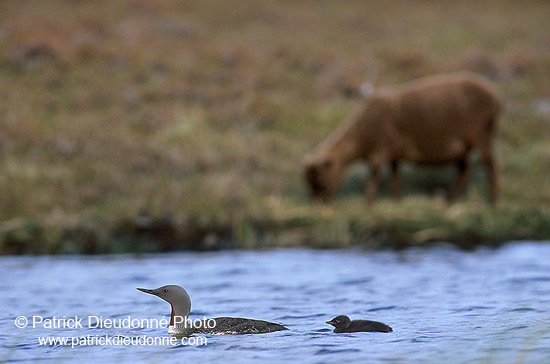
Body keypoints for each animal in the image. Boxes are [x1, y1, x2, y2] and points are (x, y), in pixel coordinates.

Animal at [306, 71, 504, 205]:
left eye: (320, 182)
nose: (319, 205)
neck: (362, 134)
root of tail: (496, 98)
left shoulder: (381, 151)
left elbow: (372, 181)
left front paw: (368, 205)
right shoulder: (394, 154)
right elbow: (395, 179)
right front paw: (397, 202)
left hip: (480, 135)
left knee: (491, 166)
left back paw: (493, 202)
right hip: (461, 147)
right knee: (465, 170)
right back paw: (449, 201)